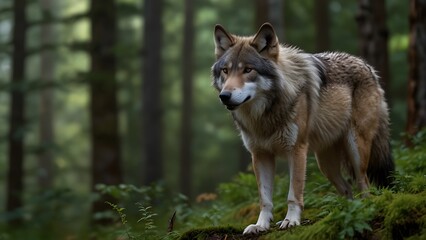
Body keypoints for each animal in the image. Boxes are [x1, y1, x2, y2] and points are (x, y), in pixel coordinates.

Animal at [211, 23, 394, 234]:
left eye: (248, 70)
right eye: (225, 71)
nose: (224, 96)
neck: (264, 115)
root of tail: (368, 67)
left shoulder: (296, 150)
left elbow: (294, 193)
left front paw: (291, 221)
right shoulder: (260, 155)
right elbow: (264, 199)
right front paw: (261, 225)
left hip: (356, 150)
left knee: (363, 183)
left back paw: (365, 208)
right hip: (325, 164)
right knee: (347, 188)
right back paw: (347, 213)